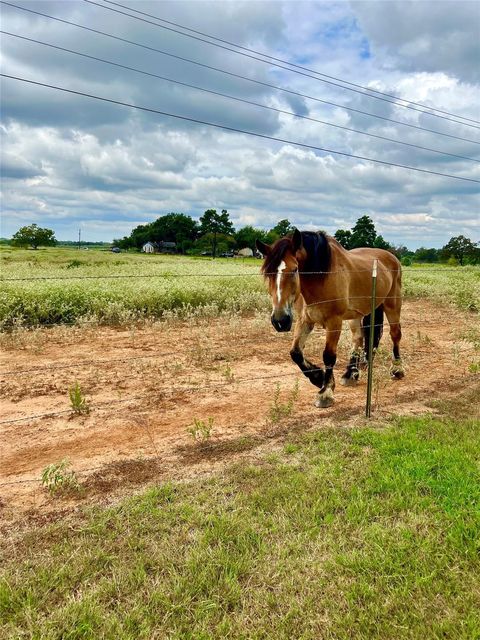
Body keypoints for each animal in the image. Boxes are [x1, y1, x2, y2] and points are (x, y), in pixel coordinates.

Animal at [256, 230, 404, 408]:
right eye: (268, 273)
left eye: (295, 269)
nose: (280, 320)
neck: (321, 277)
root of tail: (391, 256)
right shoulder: (305, 320)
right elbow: (295, 353)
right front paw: (317, 377)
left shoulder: (334, 321)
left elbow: (328, 355)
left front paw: (325, 393)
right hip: (356, 314)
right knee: (358, 338)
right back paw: (350, 374)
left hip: (392, 304)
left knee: (395, 334)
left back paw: (397, 369)